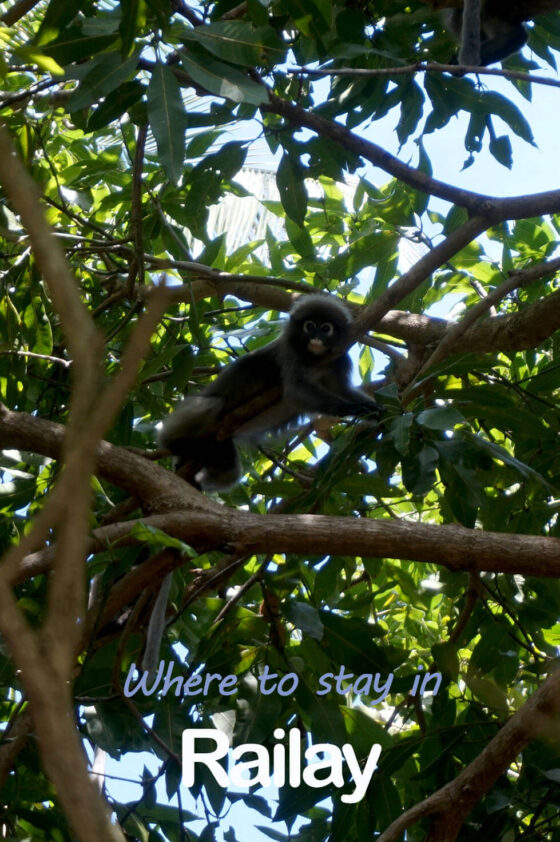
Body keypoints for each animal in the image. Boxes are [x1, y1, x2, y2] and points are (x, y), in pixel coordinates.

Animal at [159, 294, 385, 492]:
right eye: (310, 326)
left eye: (326, 328)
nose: (316, 337)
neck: (315, 358)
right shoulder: (290, 354)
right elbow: (295, 391)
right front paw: (352, 408)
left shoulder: (338, 360)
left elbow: (343, 390)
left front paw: (375, 411)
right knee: (210, 404)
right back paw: (178, 443)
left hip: (222, 446)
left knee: (229, 473)